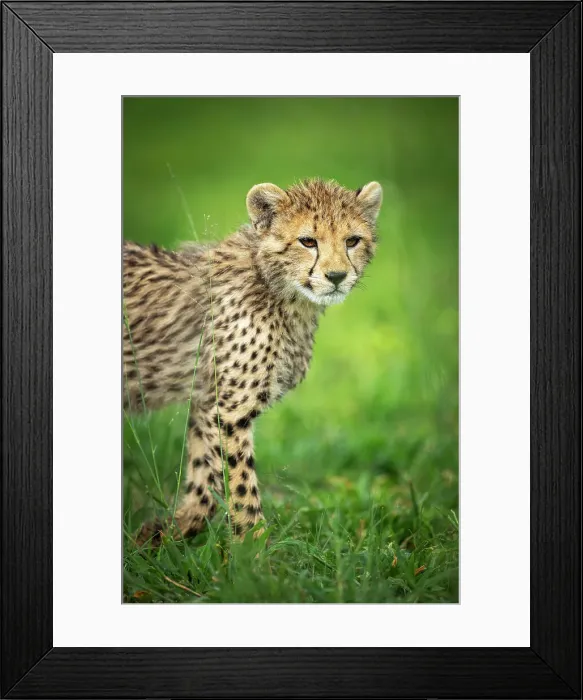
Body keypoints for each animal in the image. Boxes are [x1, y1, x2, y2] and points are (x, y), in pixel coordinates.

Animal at [123, 178, 382, 545]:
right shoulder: (230, 408)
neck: (282, 292)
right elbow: (240, 482)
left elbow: (206, 480)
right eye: (307, 241)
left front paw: (168, 531)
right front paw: (254, 548)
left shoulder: (207, 400)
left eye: (352, 241)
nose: (336, 276)